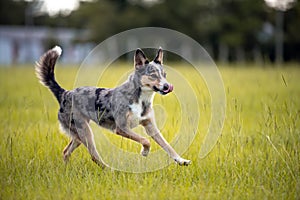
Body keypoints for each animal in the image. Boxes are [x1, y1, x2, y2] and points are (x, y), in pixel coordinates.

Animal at [35, 46, 190, 168]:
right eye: (152, 75)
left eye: (164, 75)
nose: (167, 86)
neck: (140, 99)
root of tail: (64, 93)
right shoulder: (121, 128)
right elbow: (146, 140)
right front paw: (144, 152)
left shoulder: (150, 126)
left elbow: (167, 145)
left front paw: (181, 160)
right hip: (85, 132)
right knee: (94, 156)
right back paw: (110, 170)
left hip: (78, 135)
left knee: (66, 152)